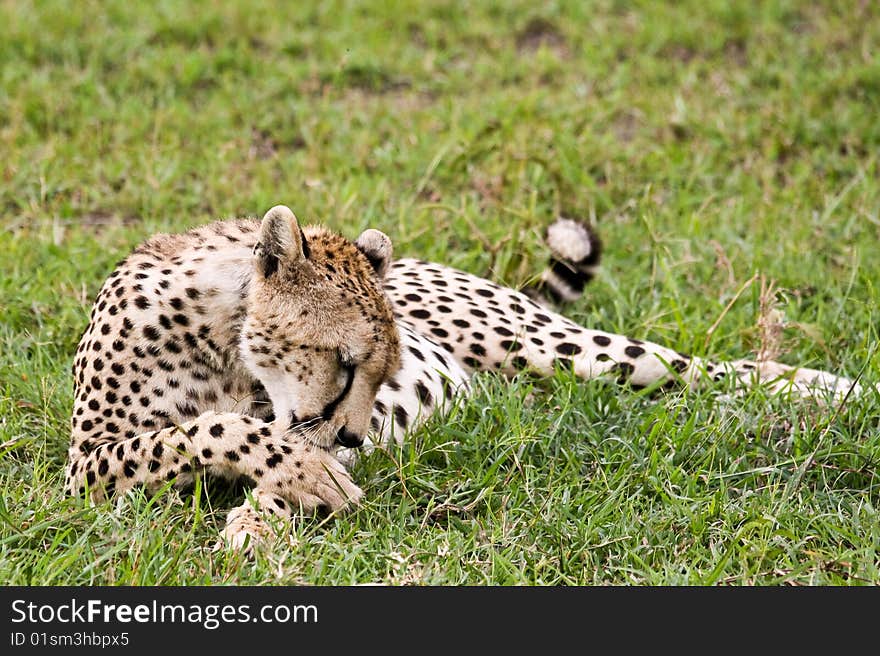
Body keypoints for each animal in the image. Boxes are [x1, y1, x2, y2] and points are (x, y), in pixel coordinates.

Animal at [69, 205, 868, 548]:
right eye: (345, 360)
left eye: (382, 371)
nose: (354, 438)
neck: (222, 336)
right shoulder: (84, 467)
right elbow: (200, 431)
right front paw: (290, 489)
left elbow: (256, 451)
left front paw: (261, 520)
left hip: (550, 346)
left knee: (692, 368)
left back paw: (831, 392)